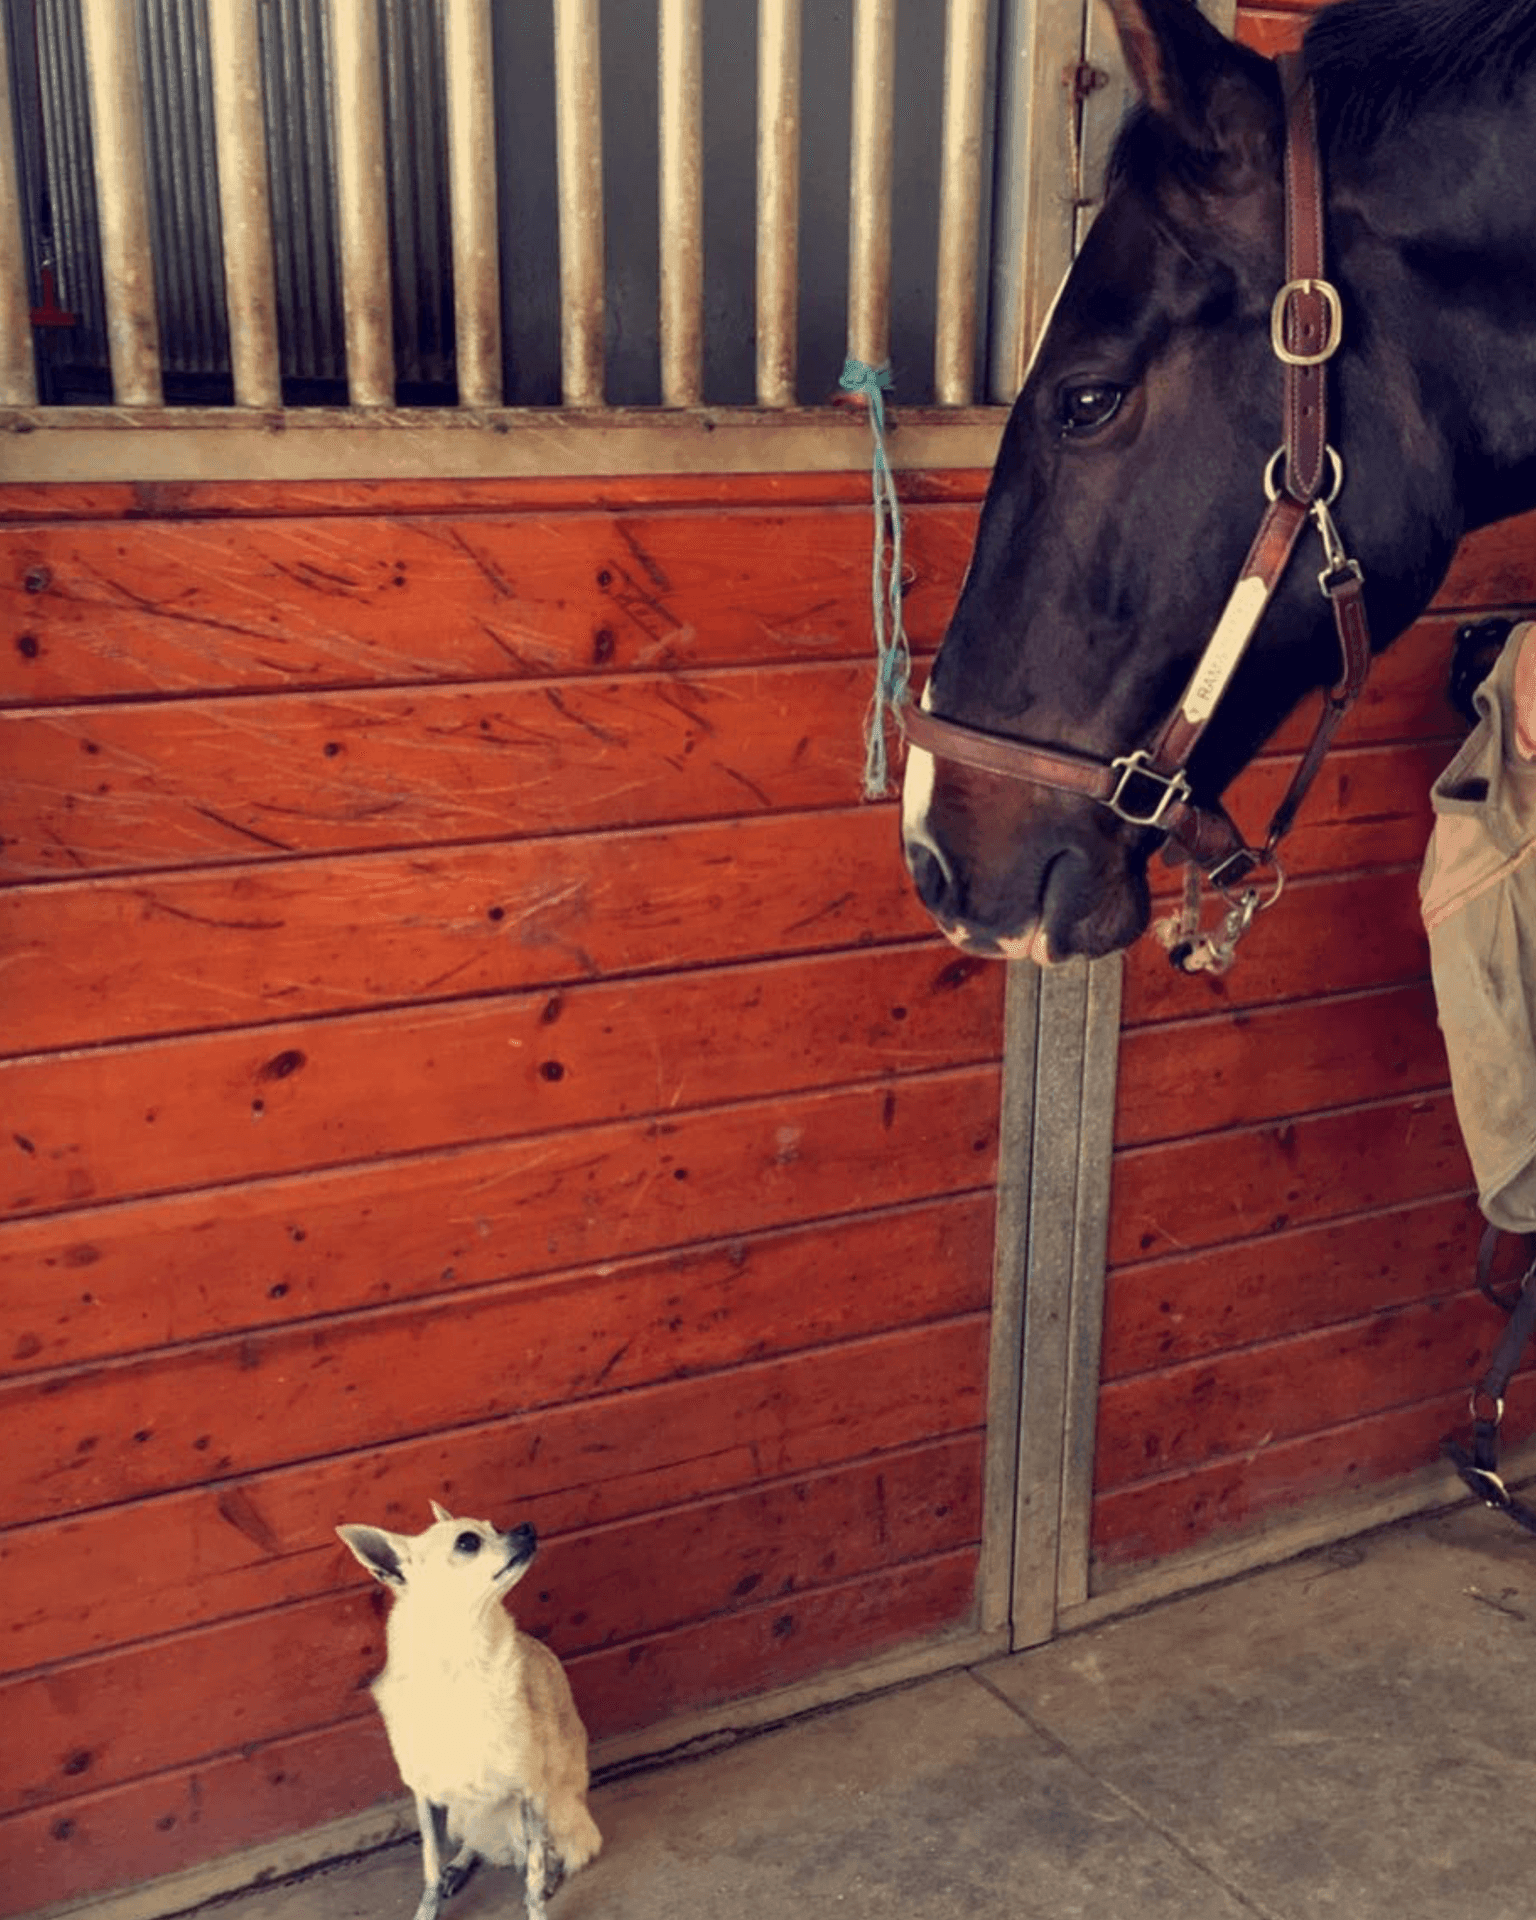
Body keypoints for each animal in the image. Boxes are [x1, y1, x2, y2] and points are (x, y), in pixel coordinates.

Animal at [339, 1497, 602, 1920]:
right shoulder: (426, 1798)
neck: (461, 1664)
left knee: (549, 1853)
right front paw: (429, 1906)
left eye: (493, 1526)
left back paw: (549, 1876)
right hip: (461, 1813)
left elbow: (532, 1872)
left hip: (552, 1814)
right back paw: (459, 1866)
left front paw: (538, 1903)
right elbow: (429, 1864)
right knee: (473, 1842)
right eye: (468, 1542)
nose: (526, 1526)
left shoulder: (529, 1794)